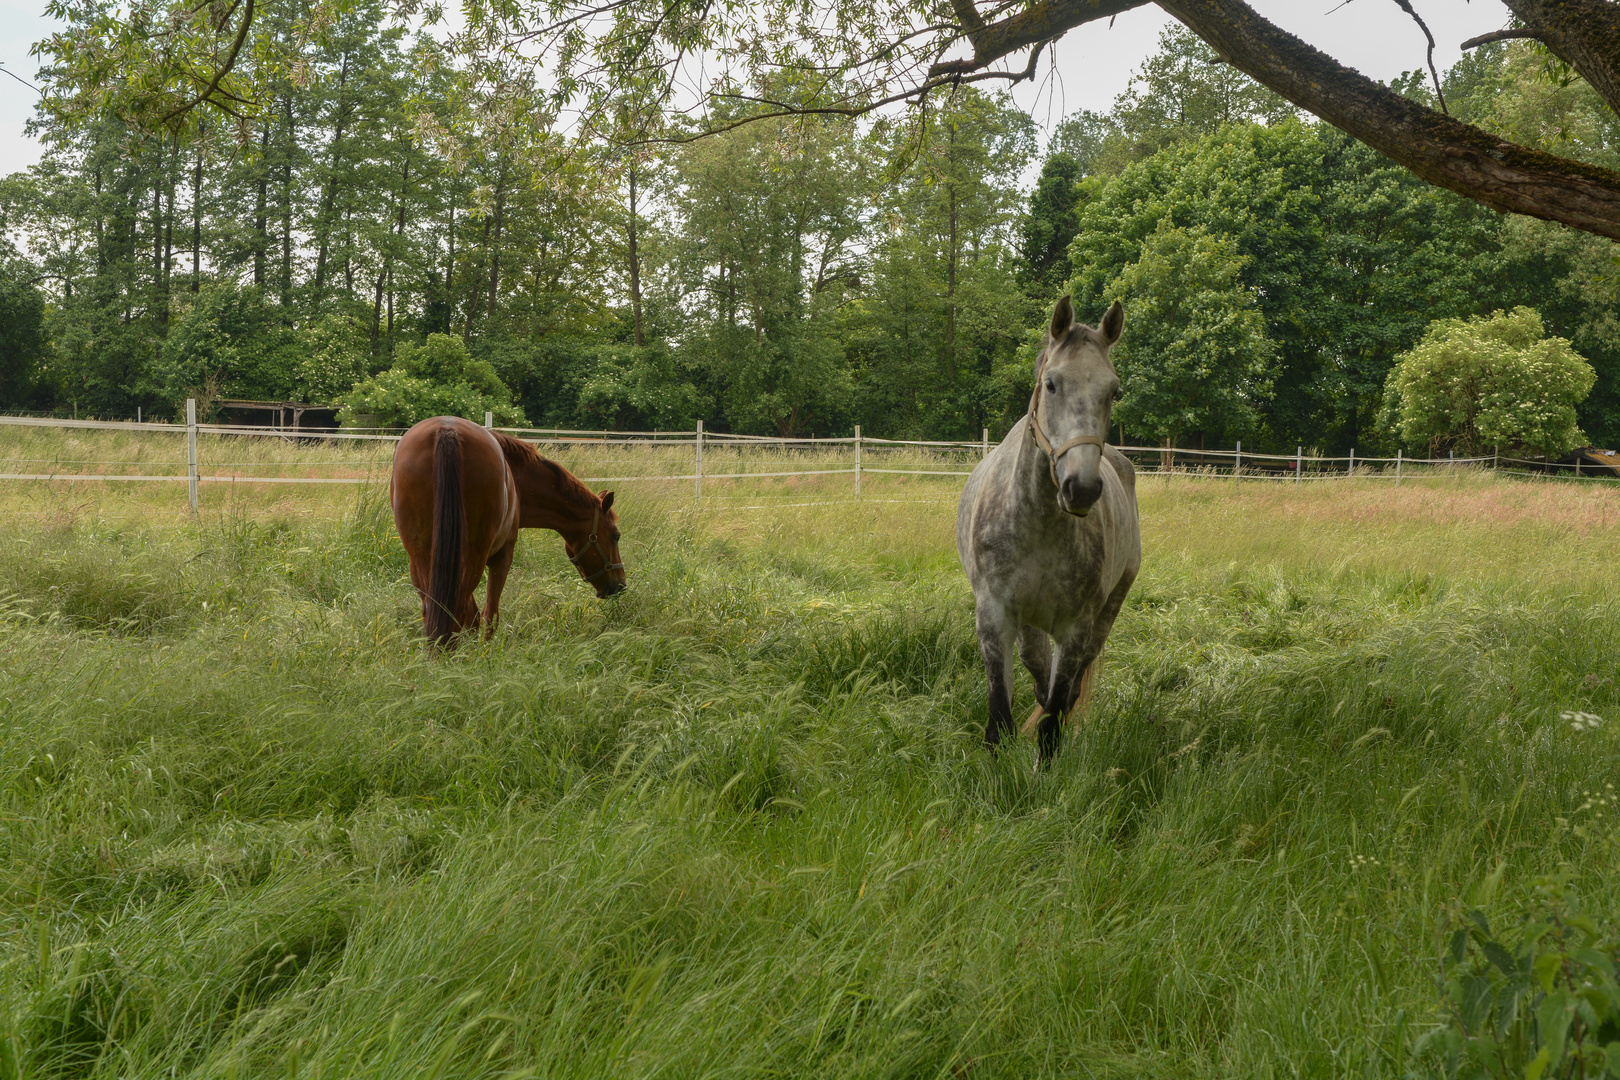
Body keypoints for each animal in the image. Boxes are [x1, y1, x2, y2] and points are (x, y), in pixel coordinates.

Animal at [385, 417, 625, 647]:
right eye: (615, 535)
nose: (620, 585)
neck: (516, 480)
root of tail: (447, 432)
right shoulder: (503, 556)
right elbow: (489, 615)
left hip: (421, 557)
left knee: (436, 609)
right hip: (473, 557)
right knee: (461, 609)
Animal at [952, 296, 1146, 767]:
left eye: (1114, 391)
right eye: (1052, 384)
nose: (1082, 487)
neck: (1039, 521)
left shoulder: (1075, 631)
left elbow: (1054, 721)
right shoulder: (995, 618)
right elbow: (999, 721)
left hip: (1105, 613)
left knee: (1065, 691)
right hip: (1028, 625)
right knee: (1037, 672)